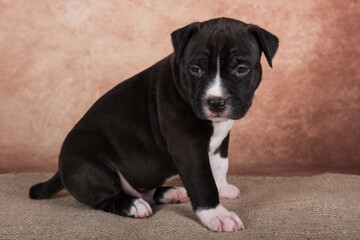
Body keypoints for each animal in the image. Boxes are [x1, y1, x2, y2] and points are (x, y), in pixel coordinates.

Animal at [29, 17, 280, 232]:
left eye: (241, 69)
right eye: (196, 69)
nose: (216, 102)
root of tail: (61, 167)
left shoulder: (221, 139)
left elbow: (219, 165)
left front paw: (222, 187)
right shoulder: (188, 147)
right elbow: (202, 179)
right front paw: (217, 214)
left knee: (149, 192)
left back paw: (171, 193)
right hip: (87, 166)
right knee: (106, 197)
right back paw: (133, 205)